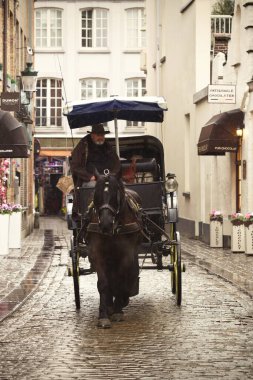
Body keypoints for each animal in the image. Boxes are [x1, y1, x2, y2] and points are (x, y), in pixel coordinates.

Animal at [86, 171, 142, 328]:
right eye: (96, 193)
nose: (105, 224)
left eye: (115, 192)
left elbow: (119, 281)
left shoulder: (126, 254)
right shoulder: (97, 254)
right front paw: (103, 315)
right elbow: (103, 283)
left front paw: (118, 311)